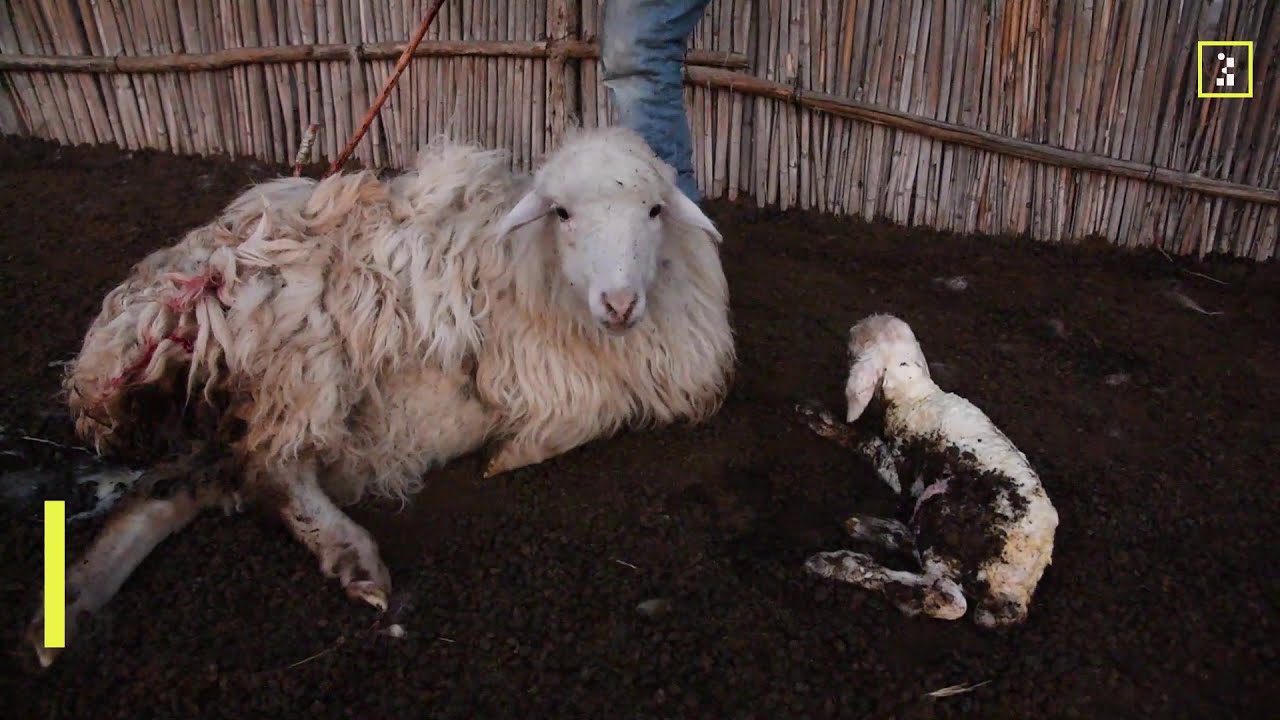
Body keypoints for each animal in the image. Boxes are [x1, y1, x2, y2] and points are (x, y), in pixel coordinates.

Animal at [25, 125, 736, 667]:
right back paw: (354, 559)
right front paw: (509, 455)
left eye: (654, 211)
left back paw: (70, 604)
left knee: (174, 487)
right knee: (270, 468)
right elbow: (583, 416)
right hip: (300, 352)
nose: (619, 304)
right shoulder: (545, 376)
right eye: (562, 213)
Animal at [797, 313, 1057, 627]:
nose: (850, 330)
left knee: (947, 596)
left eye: (856, 342)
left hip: (942, 505)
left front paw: (820, 419)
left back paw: (844, 564)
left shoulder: (899, 470)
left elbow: (867, 441)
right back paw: (870, 528)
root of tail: (1019, 586)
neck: (913, 393)